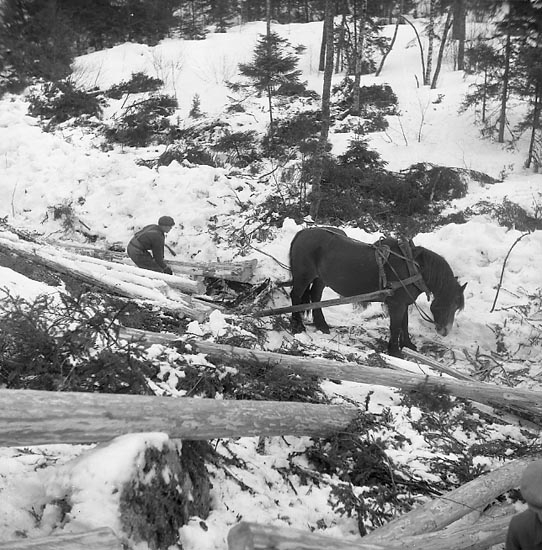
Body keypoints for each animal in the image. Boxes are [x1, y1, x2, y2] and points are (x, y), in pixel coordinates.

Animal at [288, 227, 468, 358]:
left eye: (456, 307)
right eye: (448, 303)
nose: (445, 331)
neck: (413, 268)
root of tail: (302, 232)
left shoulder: (403, 303)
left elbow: (404, 324)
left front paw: (408, 345)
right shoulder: (397, 304)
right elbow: (395, 326)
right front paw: (395, 351)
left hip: (320, 278)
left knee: (316, 296)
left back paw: (322, 325)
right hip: (304, 275)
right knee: (296, 296)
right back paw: (298, 326)